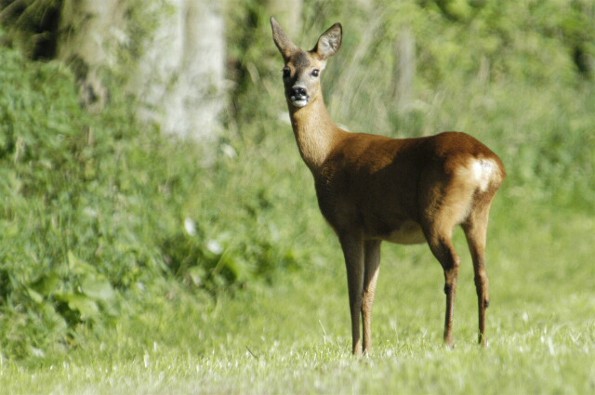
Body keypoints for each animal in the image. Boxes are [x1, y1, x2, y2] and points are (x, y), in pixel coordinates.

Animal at [272, 17, 506, 356]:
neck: (325, 153)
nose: (298, 91)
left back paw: (448, 338)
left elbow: (352, 294)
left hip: (437, 214)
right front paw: (368, 350)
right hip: (477, 215)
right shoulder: (374, 235)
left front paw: (355, 351)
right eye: (285, 70)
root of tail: (485, 162)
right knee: (483, 274)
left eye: (315, 71)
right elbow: (369, 296)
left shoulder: (348, 225)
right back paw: (482, 341)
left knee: (453, 265)